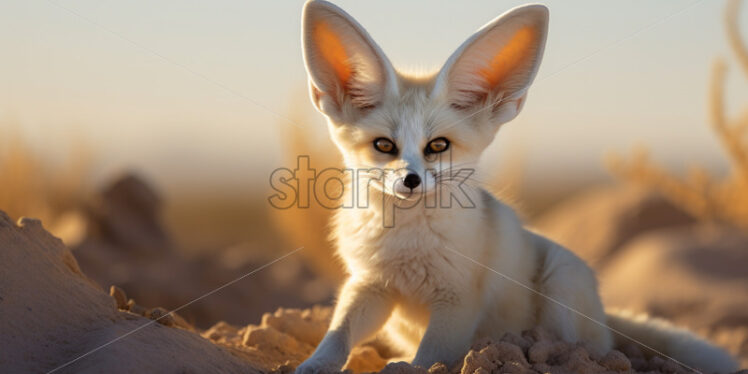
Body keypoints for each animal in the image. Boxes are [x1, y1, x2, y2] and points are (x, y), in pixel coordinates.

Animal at [294, 1, 736, 372]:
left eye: (438, 146)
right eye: (384, 146)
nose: (411, 180)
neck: (407, 242)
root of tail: (603, 318)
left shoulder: (458, 299)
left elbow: (431, 355)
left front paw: (411, 369)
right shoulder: (370, 285)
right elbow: (338, 334)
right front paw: (314, 366)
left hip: (562, 279)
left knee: (580, 346)